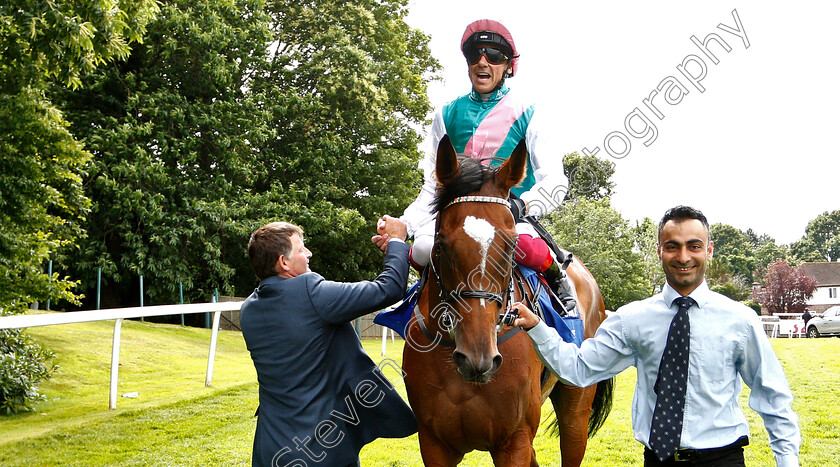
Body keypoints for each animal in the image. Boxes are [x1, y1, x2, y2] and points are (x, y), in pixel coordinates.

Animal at [404, 133, 612, 466]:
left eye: (512, 245)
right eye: (442, 245)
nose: (478, 359)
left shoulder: (514, 441)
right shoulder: (433, 443)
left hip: (576, 405)